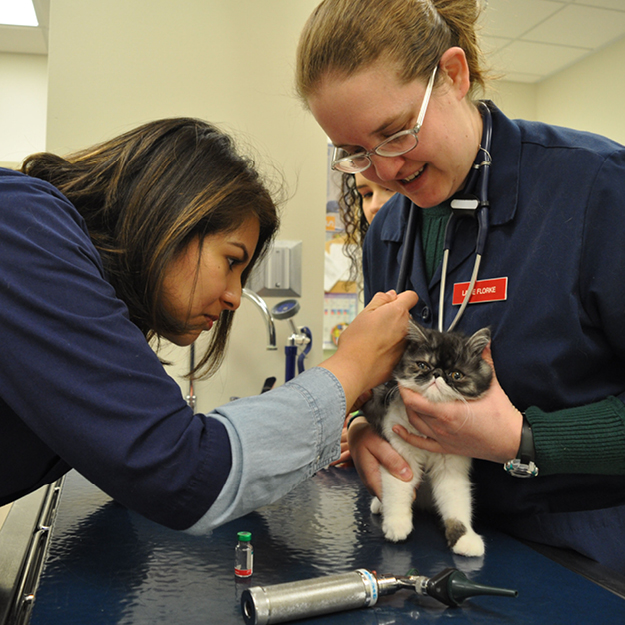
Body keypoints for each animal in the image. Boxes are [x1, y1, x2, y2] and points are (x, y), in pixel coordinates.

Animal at [360, 322, 492, 556]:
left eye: (456, 375)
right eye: (423, 365)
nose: (437, 373)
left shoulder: (452, 467)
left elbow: (457, 502)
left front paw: (465, 538)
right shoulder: (401, 454)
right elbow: (397, 489)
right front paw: (397, 523)